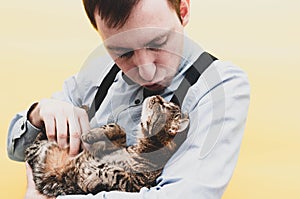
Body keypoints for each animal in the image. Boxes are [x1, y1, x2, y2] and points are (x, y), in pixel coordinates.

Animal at [26, 95, 190, 197]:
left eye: (163, 106)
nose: (157, 96)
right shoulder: (113, 147)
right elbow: (119, 129)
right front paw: (92, 134)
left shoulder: (133, 186)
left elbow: (113, 172)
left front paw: (92, 181)